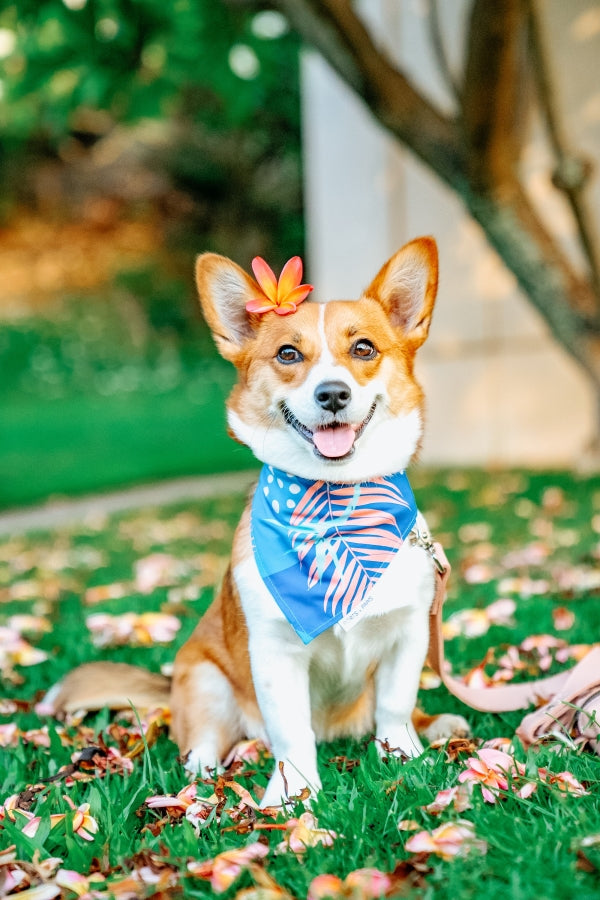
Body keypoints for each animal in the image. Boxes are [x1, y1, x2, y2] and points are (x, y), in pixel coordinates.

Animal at [45, 239, 468, 808]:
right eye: (288, 354)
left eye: (363, 348)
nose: (332, 394)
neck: (337, 508)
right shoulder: (274, 652)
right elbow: (291, 733)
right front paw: (293, 794)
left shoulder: (407, 634)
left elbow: (395, 708)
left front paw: (405, 758)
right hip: (204, 677)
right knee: (204, 738)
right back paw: (203, 777)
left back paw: (438, 725)